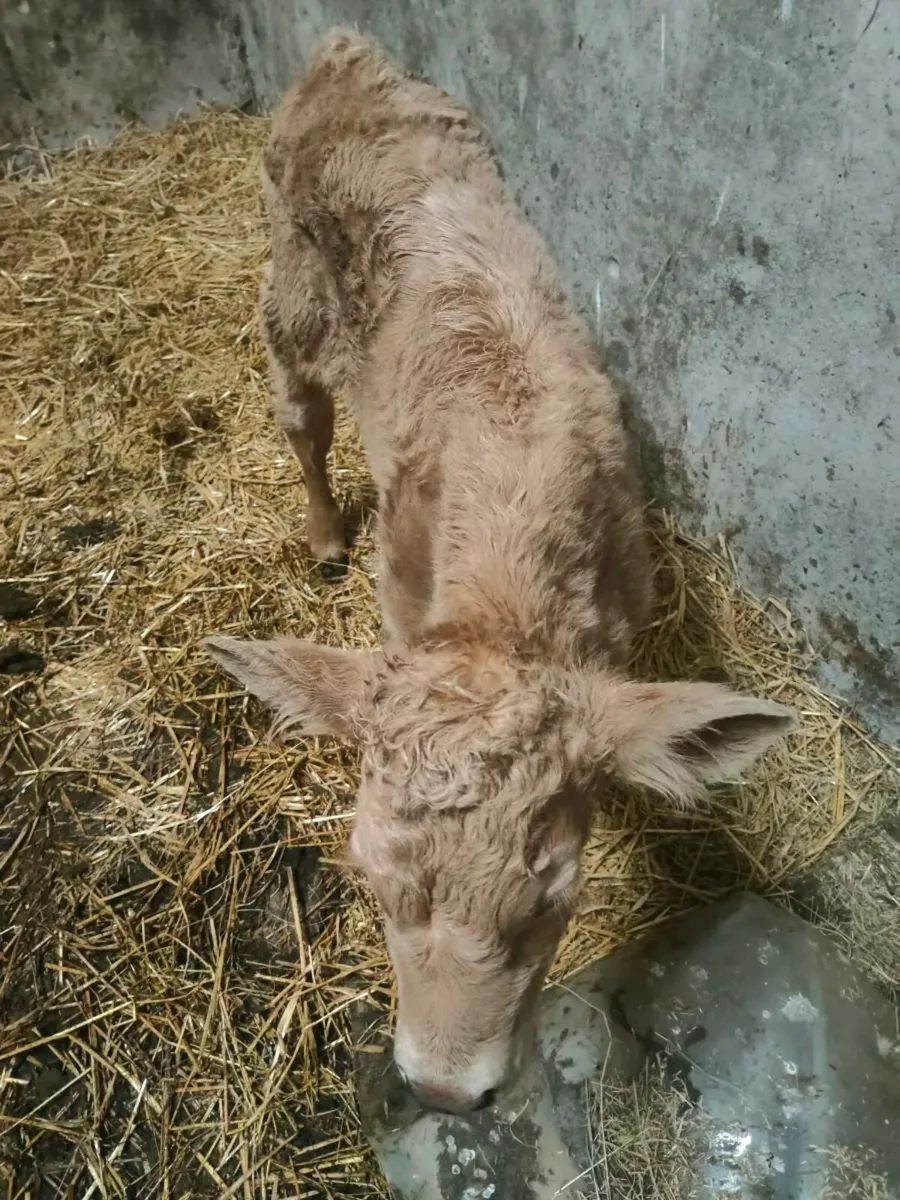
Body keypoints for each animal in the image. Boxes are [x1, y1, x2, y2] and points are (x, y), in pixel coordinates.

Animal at [203, 29, 794, 1115]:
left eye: (554, 894)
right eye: (365, 877)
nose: (443, 1092)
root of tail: (341, 51)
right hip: (289, 298)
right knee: (299, 419)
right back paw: (322, 535)